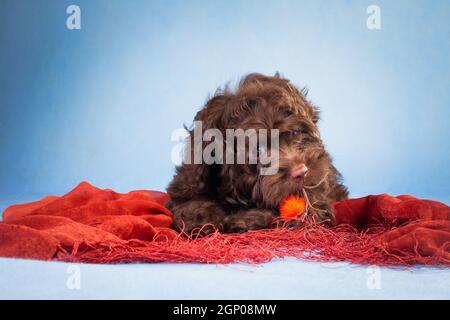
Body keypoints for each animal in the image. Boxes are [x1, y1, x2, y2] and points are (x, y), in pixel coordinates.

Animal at [166, 73, 348, 235]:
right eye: (258, 149)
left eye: (296, 132)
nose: (300, 171)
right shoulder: (188, 182)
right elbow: (190, 203)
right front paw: (202, 220)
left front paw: (245, 219)